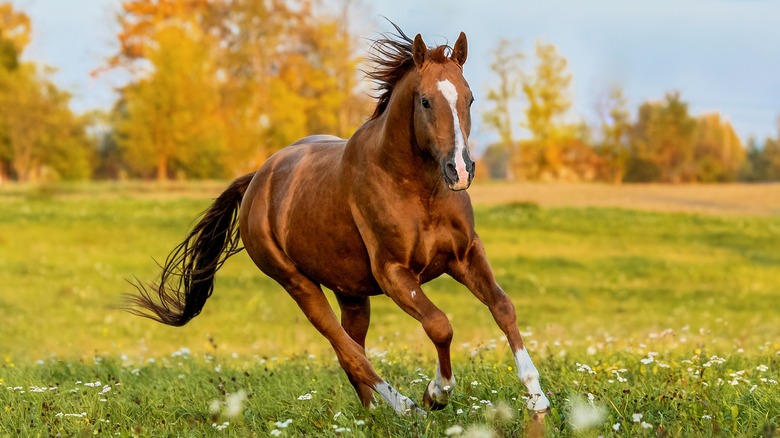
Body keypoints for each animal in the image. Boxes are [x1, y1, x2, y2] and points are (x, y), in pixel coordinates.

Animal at [126, 24, 548, 418]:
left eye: (469, 98)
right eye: (426, 101)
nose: (459, 170)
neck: (418, 190)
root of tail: (256, 180)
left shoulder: (465, 255)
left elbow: (502, 306)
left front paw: (537, 397)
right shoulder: (394, 274)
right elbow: (439, 324)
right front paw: (436, 393)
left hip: (351, 293)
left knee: (352, 348)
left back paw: (374, 413)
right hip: (298, 285)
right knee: (349, 352)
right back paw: (406, 407)